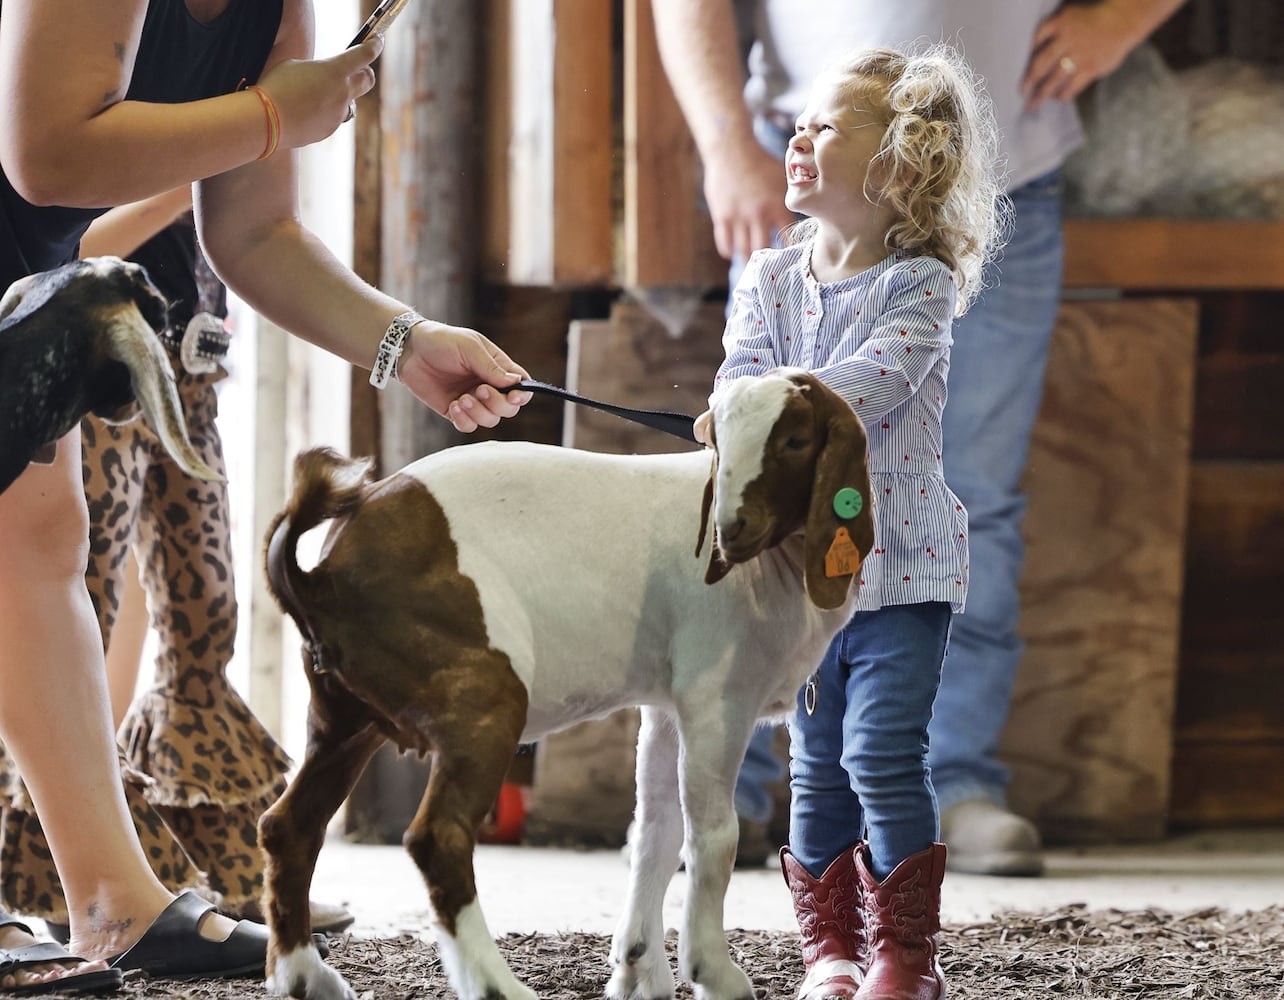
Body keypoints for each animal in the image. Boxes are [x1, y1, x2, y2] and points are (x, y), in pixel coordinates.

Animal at [265, 367, 878, 1000]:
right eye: (718, 441)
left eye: (796, 441)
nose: (730, 531)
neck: (772, 571)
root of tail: (322, 573)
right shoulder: (716, 698)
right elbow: (711, 836)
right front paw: (713, 972)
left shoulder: (667, 707)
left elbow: (655, 831)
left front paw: (638, 968)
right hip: (479, 690)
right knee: (437, 837)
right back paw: (498, 985)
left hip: (343, 712)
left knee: (290, 825)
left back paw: (306, 975)